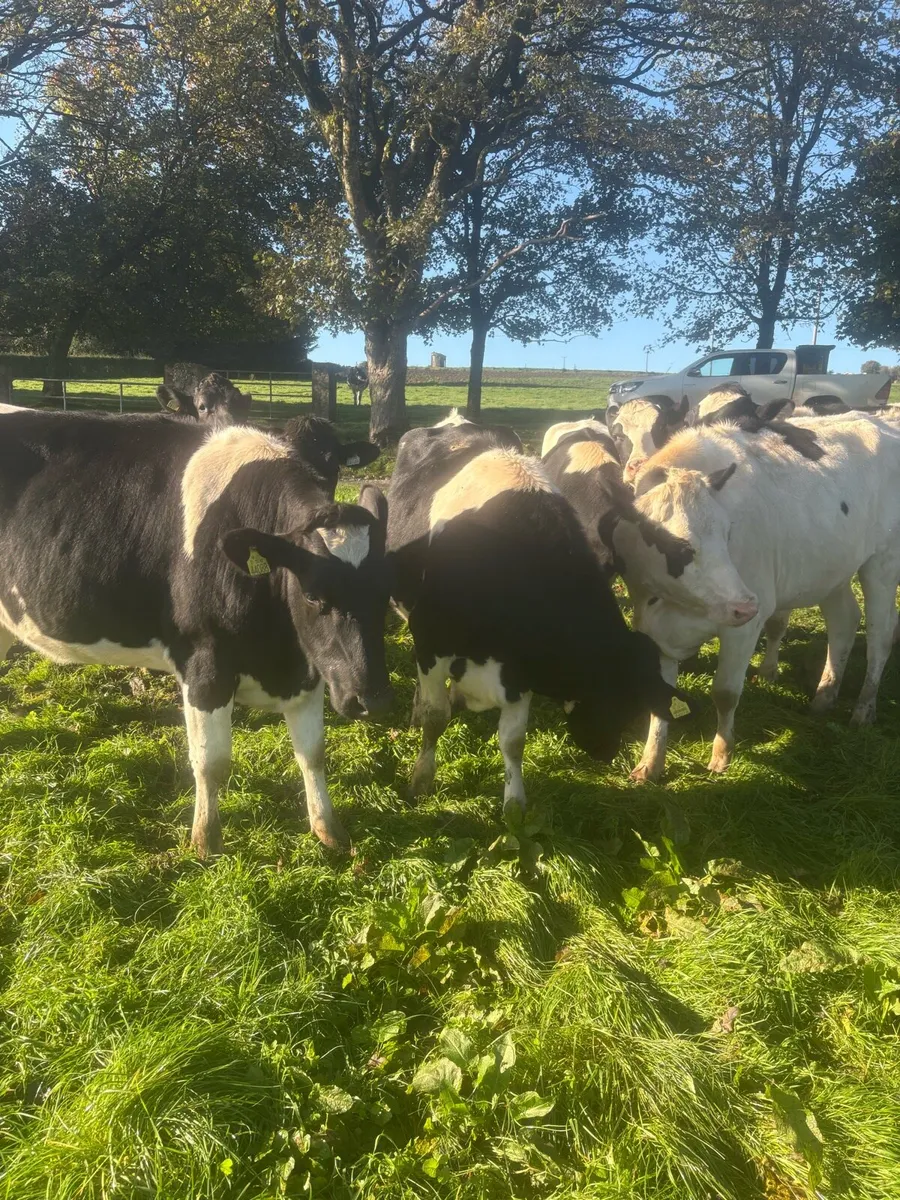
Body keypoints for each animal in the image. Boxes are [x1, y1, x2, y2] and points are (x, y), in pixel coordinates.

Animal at [0, 410, 392, 856]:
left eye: (387, 590)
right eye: (311, 594)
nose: (373, 700)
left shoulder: (310, 666)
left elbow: (312, 752)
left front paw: (328, 829)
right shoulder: (206, 663)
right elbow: (211, 762)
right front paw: (205, 841)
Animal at [387, 412, 687, 812]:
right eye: (605, 693)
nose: (604, 752)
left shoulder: (519, 667)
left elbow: (513, 740)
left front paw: (514, 803)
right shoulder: (430, 640)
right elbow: (436, 718)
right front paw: (420, 779)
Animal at [612, 418, 900, 781]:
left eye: (728, 533)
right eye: (679, 546)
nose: (746, 605)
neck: (669, 604)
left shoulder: (744, 629)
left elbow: (725, 693)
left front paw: (721, 756)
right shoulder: (653, 630)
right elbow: (660, 698)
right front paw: (650, 762)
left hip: (883, 563)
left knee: (880, 636)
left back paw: (863, 709)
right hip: (831, 569)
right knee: (844, 621)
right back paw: (824, 695)